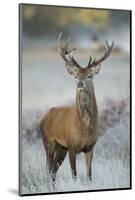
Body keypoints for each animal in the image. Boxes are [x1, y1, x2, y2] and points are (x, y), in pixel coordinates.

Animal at [39, 32, 114, 183]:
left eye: (90, 75)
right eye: (75, 75)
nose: (79, 83)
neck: (84, 129)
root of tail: (43, 117)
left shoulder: (90, 147)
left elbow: (89, 175)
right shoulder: (72, 146)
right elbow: (74, 175)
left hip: (61, 148)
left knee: (53, 170)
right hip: (48, 141)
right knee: (48, 168)